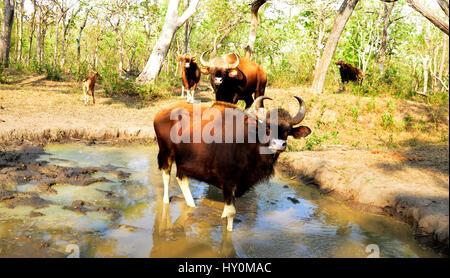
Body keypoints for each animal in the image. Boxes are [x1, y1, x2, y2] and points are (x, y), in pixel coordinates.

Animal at [153, 96, 312, 231]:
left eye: (288, 131)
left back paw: (191, 204)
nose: (279, 145)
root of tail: (161, 113)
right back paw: (166, 201)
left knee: (181, 178)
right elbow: (230, 213)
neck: (246, 144)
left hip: (183, 161)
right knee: (167, 176)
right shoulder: (228, 183)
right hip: (166, 152)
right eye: (267, 129)